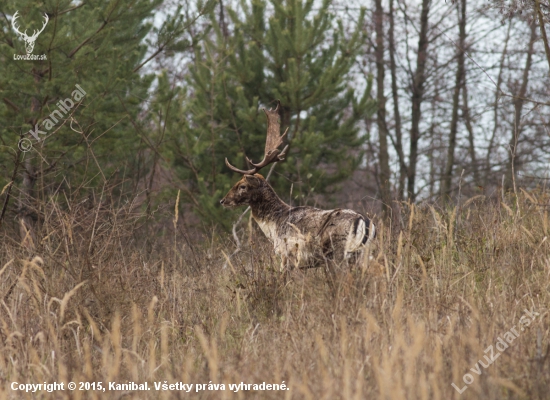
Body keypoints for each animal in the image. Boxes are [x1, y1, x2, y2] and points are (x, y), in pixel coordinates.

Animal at [222, 103, 378, 274]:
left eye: (242, 186)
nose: (223, 200)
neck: (274, 226)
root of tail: (364, 221)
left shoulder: (287, 254)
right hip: (362, 254)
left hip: (338, 252)